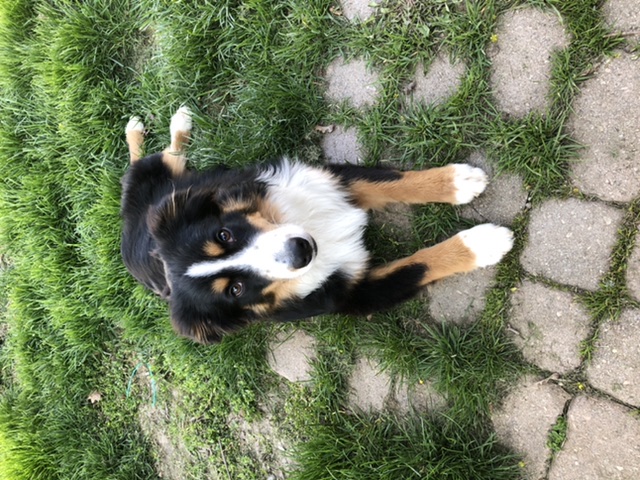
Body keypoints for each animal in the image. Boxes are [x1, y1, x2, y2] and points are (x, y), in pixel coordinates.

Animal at [121, 107, 514, 344]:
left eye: (224, 234)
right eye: (235, 289)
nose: (301, 250)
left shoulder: (330, 181)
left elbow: (395, 182)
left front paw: (457, 182)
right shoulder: (354, 293)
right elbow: (419, 264)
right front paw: (484, 243)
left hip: (175, 183)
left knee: (156, 159)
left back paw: (162, 124)